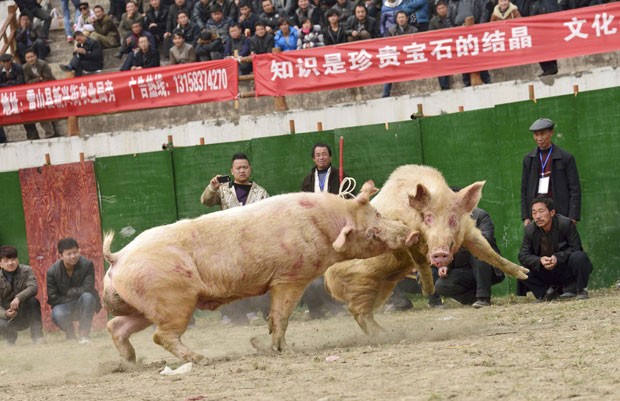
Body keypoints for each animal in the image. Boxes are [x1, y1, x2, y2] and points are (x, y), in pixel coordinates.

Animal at [103, 180, 416, 362]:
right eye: (372, 233)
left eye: (378, 213)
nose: (410, 233)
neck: (325, 225)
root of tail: (117, 257)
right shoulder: (290, 277)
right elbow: (281, 316)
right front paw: (284, 350)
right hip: (174, 302)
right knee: (161, 336)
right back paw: (201, 359)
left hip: (141, 307)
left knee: (115, 327)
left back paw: (131, 362)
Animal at [322, 164, 532, 336]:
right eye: (428, 217)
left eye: (452, 218)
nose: (440, 253)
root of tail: (328, 278)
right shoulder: (406, 235)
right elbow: (419, 258)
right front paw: (427, 288)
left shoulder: (468, 231)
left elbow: (488, 252)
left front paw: (525, 274)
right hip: (362, 283)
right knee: (358, 312)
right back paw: (384, 335)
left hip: (381, 286)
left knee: (360, 311)